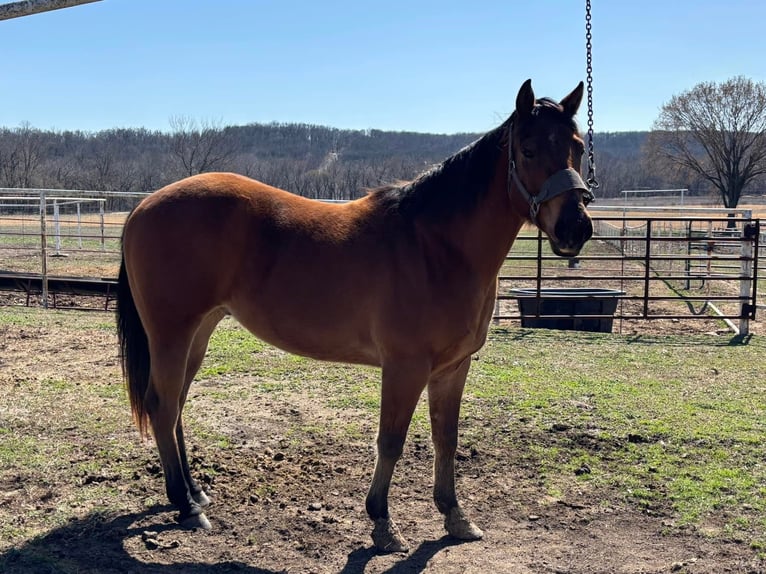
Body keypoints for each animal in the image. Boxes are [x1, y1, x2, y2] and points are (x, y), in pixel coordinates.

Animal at [115, 80, 592, 552]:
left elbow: (446, 439)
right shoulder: (405, 367)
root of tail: (143, 207)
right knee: (162, 406)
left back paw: (195, 493)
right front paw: (382, 522)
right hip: (172, 333)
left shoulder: (453, 368)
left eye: (578, 147)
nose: (576, 228)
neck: (435, 246)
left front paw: (455, 516)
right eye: (527, 149)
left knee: (176, 405)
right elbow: (391, 441)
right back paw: (186, 507)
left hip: (200, 330)